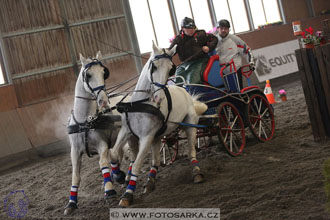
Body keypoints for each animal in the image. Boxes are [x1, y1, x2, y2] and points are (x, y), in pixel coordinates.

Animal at [63, 51, 125, 215]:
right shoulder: (75, 151)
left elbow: (103, 163)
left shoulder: (102, 144)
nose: (103, 101)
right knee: (117, 156)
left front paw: (109, 190)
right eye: (88, 75)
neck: (85, 121)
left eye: (104, 73)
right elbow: (75, 176)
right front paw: (71, 203)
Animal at [109, 42, 206, 207]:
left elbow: (136, 165)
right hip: (157, 137)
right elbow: (114, 153)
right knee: (156, 161)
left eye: (171, 68)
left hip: (189, 125)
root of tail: (183, 89)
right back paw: (149, 182)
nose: (158, 98)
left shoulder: (146, 137)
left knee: (191, 151)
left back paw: (196, 172)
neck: (140, 104)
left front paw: (127, 195)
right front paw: (119, 176)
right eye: (153, 66)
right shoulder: (127, 131)